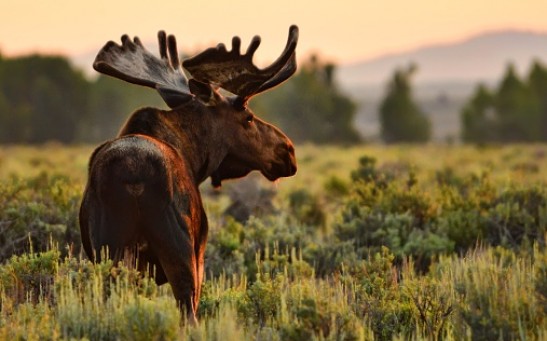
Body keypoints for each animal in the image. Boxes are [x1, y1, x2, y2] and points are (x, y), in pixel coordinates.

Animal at [80, 25, 300, 320]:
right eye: (248, 117)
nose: (287, 150)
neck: (196, 159)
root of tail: (133, 179)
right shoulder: (200, 250)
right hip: (180, 250)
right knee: (189, 312)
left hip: (108, 251)